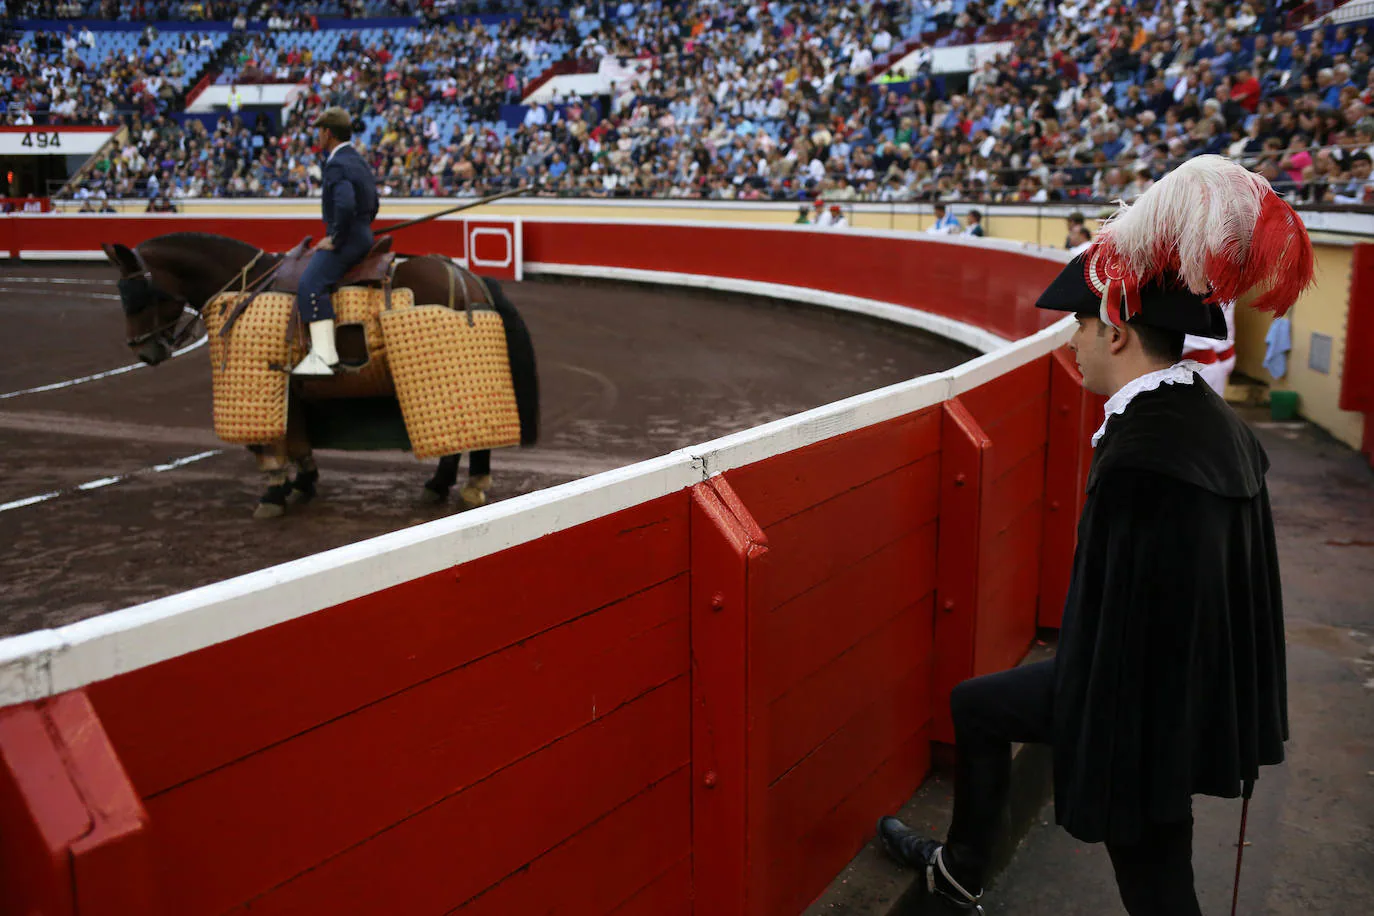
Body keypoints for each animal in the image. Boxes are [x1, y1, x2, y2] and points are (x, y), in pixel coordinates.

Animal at [101, 230, 538, 516]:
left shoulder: (274, 382)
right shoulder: (296, 390)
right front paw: (303, 483)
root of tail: (470, 277)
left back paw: (468, 486)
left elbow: (270, 443)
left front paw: (274, 495)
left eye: (135, 295)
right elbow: (297, 440)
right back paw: (440, 485)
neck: (248, 289)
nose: (144, 351)